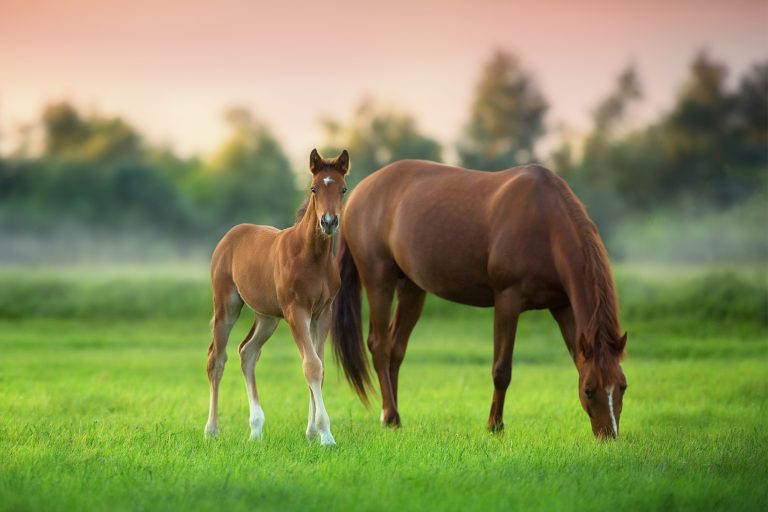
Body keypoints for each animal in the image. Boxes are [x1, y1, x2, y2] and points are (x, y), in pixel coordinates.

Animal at [204, 149, 350, 446]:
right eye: (314, 188)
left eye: (343, 189)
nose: (328, 222)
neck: (312, 257)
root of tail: (231, 234)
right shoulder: (297, 311)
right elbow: (311, 366)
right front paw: (326, 435)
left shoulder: (322, 313)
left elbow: (319, 367)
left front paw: (312, 432)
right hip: (227, 305)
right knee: (217, 359)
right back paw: (212, 430)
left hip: (267, 317)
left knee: (247, 352)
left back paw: (256, 429)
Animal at [331, 160, 628, 438]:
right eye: (589, 390)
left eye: (623, 387)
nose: (608, 435)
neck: (545, 223)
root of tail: (357, 193)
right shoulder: (508, 300)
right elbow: (502, 370)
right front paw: (494, 425)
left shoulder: (562, 306)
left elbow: (576, 359)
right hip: (378, 280)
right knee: (380, 346)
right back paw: (390, 414)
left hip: (412, 288)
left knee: (396, 348)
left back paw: (392, 417)